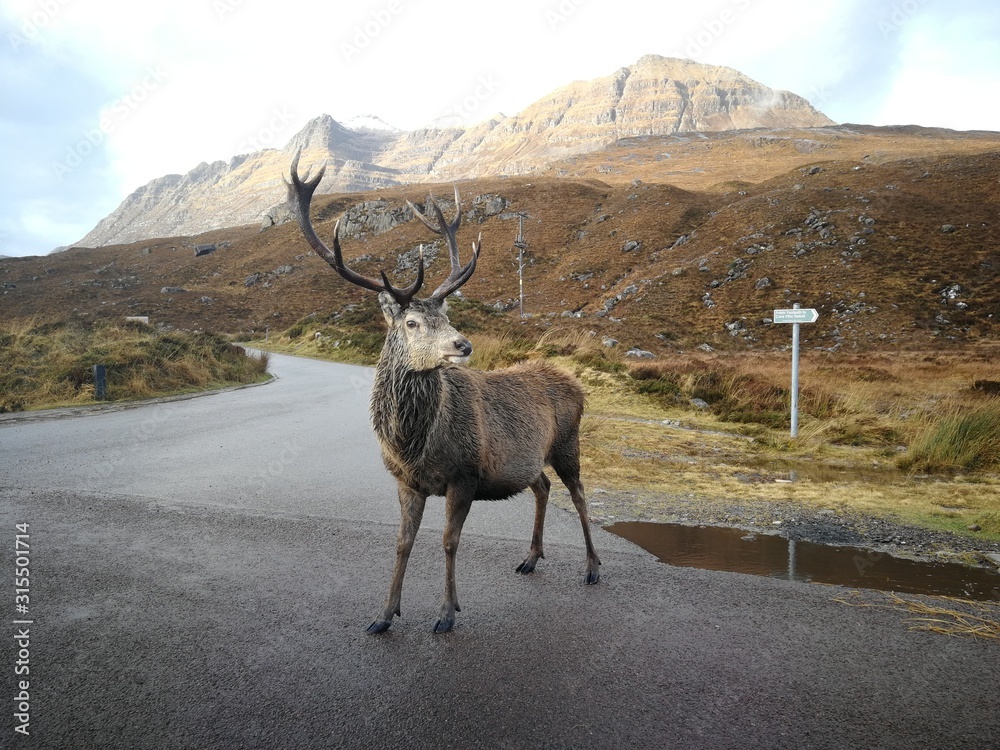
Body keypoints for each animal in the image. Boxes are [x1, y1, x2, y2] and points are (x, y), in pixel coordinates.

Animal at [286, 151, 600, 633]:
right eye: (412, 322)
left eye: (447, 316)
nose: (463, 345)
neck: (415, 444)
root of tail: (576, 384)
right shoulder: (405, 481)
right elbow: (402, 543)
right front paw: (383, 615)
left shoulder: (465, 473)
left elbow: (450, 542)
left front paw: (447, 613)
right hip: (533, 457)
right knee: (543, 486)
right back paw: (530, 557)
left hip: (568, 442)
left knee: (581, 496)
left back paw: (593, 567)